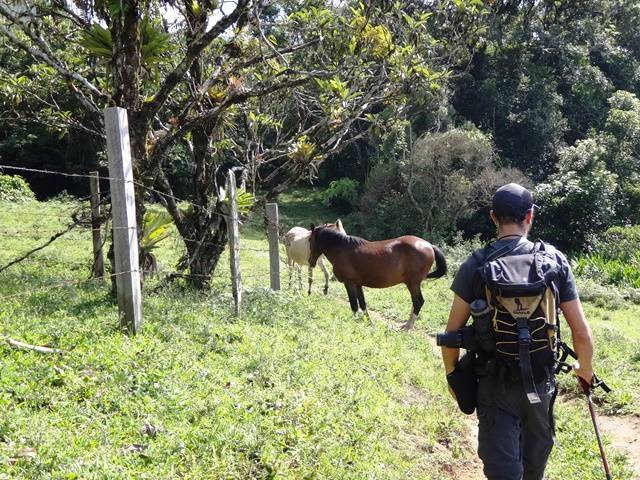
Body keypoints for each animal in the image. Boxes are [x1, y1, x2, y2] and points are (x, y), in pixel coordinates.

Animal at [308, 225, 448, 330]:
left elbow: (354, 305)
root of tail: (429, 245)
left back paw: (408, 327)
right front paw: (368, 322)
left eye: (309, 240)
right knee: (416, 303)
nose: (311, 262)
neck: (342, 249)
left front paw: (355, 323)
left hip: (412, 283)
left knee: (418, 302)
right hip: (414, 284)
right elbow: (362, 304)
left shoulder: (349, 283)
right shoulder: (358, 284)